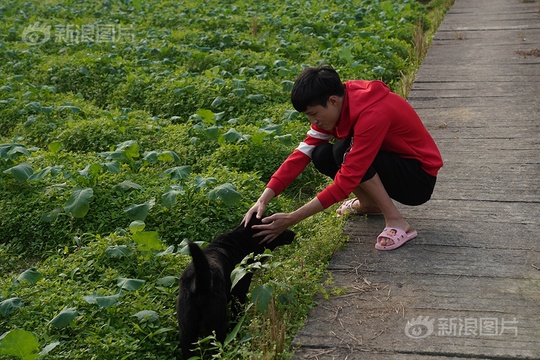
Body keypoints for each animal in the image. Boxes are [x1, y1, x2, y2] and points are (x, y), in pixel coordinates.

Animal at [176, 214, 296, 358]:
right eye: (273, 223)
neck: (242, 240)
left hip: (187, 330)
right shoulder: (239, 294)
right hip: (217, 323)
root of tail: (199, 283)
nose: (293, 233)